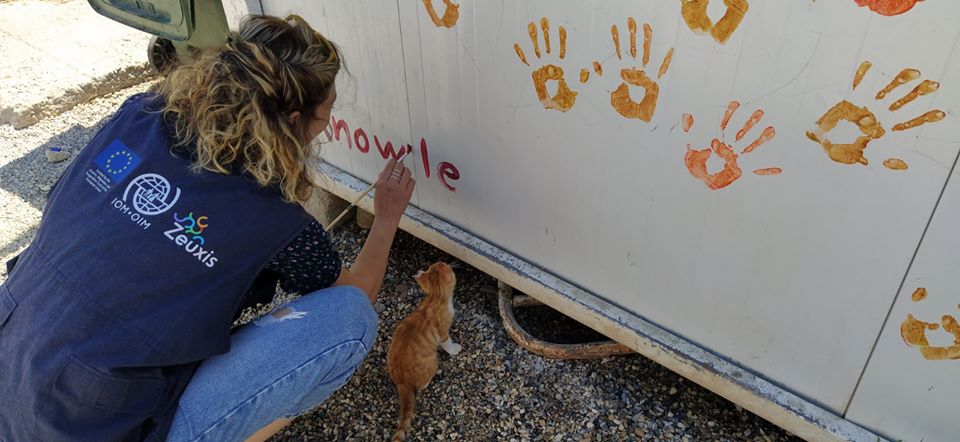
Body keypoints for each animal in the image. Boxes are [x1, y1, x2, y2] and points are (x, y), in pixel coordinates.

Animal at [384, 260, 460, 440]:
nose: (443, 261)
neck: (435, 299)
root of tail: (401, 381)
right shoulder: (443, 332)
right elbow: (447, 343)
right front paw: (454, 349)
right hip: (432, 362)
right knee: (421, 384)